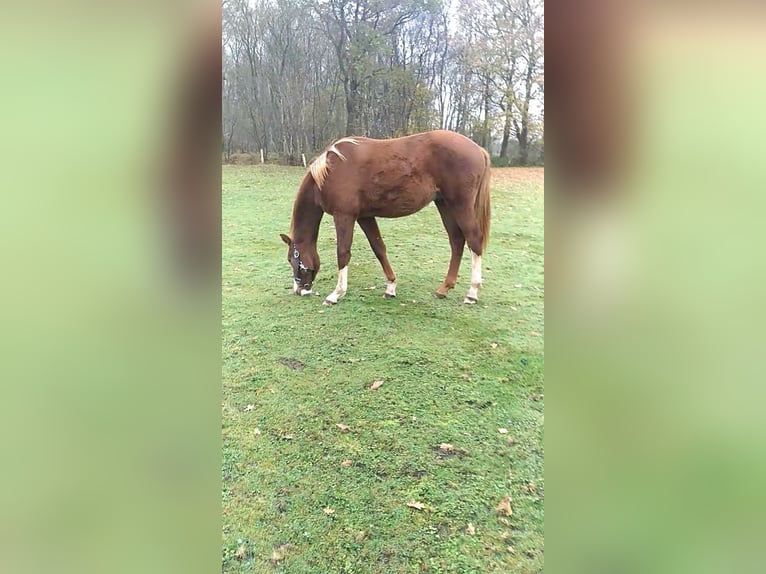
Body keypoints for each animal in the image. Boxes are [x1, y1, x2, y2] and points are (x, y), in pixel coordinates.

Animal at [280, 131, 492, 308]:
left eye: (291, 258)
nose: (299, 289)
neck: (330, 171)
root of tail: (479, 149)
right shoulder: (365, 217)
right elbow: (379, 248)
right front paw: (390, 287)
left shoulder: (344, 216)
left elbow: (343, 253)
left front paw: (336, 294)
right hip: (444, 205)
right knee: (457, 241)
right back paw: (444, 289)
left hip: (460, 205)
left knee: (474, 239)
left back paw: (472, 292)